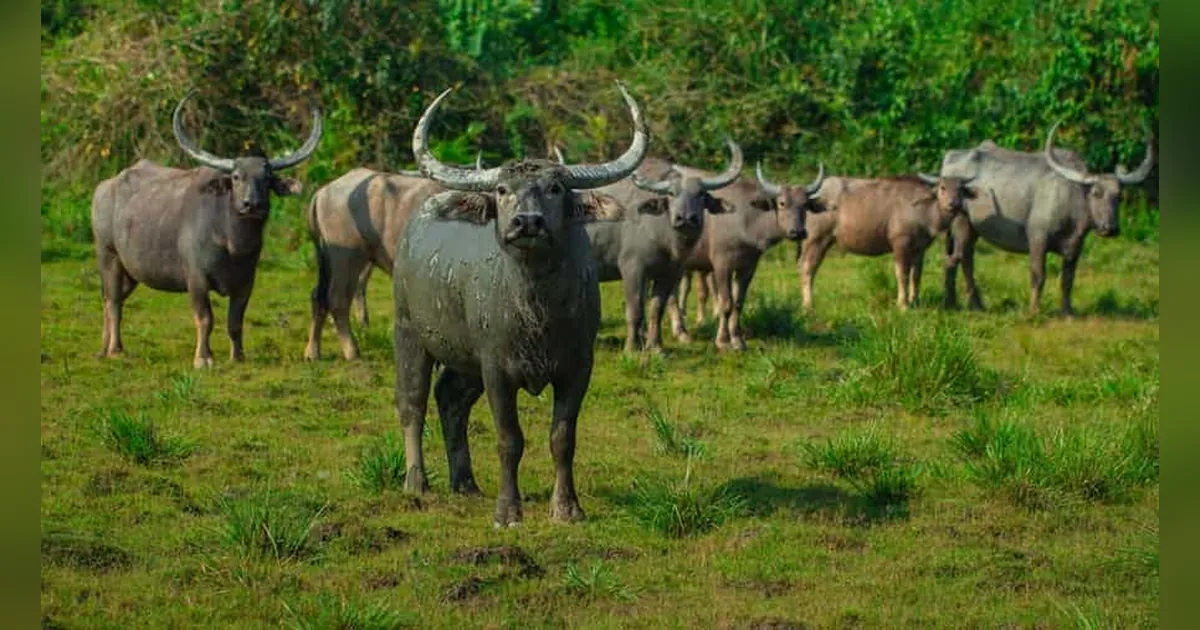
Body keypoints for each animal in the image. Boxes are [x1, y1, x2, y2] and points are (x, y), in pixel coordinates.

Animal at [91, 91, 322, 367]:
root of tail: (104, 187)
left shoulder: (246, 282)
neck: (232, 243)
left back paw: (103, 349)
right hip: (109, 256)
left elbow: (235, 322)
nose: (251, 204)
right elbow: (205, 319)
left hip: (131, 270)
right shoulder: (196, 279)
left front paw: (238, 356)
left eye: (266, 179)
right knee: (114, 302)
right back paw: (115, 350)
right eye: (236, 177)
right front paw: (203, 358)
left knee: (108, 300)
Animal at [391, 82, 645, 526]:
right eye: (501, 190)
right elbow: (509, 439)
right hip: (408, 332)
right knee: (412, 402)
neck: (537, 311)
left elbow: (562, 437)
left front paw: (567, 508)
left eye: (555, 189)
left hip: (465, 358)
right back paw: (416, 482)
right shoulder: (497, 369)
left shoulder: (578, 367)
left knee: (450, 398)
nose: (527, 222)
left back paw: (465, 481)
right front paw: (508, 511)